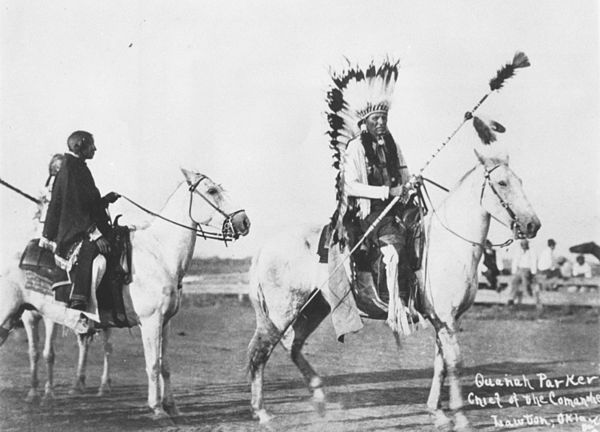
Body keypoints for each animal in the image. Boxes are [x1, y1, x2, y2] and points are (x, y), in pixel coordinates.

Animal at [0, 169, 248, 418]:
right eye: (212, 191)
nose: (244, 221)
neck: (159, 255)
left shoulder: (165, 322)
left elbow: (165, 365)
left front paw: (172, 407)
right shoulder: (150, 322)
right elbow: (153, 365)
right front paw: (157, 408)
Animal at [246, 117, 540, 428]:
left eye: (520, 181)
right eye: (502, 183)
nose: (533, 225)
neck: (449, 245)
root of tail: (264, 247)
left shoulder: (444, 321)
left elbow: (440, 363)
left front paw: (437, 412)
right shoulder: (446, 319)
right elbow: (455, 363)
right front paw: (460, 417)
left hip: (314, 308)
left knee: (293, 346)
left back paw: (320, 398)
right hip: (282, 312)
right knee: (260, 352)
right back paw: (262, 412)